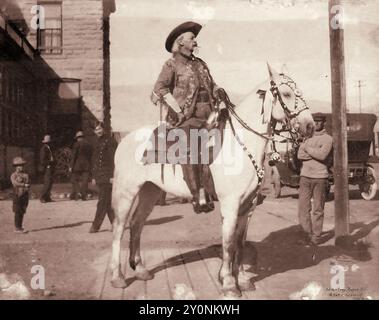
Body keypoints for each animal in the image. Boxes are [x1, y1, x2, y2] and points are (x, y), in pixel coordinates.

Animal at [109, 64, 314, 298]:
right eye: (287, 94)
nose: (310, 126)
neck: (240, 146)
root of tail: (124, 139)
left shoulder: (248, 207)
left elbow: (240, 242)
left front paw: (242, 280)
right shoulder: (230, 205)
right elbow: (228, 243)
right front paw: (229, 283)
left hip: (149, 191)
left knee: (137, 223)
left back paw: (141, 269)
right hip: (126, 191)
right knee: (119, 228)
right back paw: (117, 276)